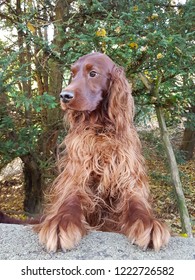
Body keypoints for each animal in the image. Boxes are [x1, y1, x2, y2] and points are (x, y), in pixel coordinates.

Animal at [0, 52, 170, 252]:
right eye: (73, 74)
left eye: (93, 73)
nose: (64, 96)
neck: (100, 130)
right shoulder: (77, 176)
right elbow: (70, 199)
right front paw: (61, 222)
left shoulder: (127, 178)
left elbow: (137, 204)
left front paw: (148, 223)